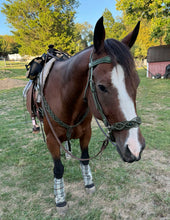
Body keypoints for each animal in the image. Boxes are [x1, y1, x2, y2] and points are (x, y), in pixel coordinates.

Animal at [25, 16, 145, 213]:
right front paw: (60, 199)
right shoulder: (51, 138)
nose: (135, 147)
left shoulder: (86, 133)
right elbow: (58, 169)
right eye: (102, 87)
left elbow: (85, 159)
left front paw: (89, 183)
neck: (66, 98)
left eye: (137, 82)